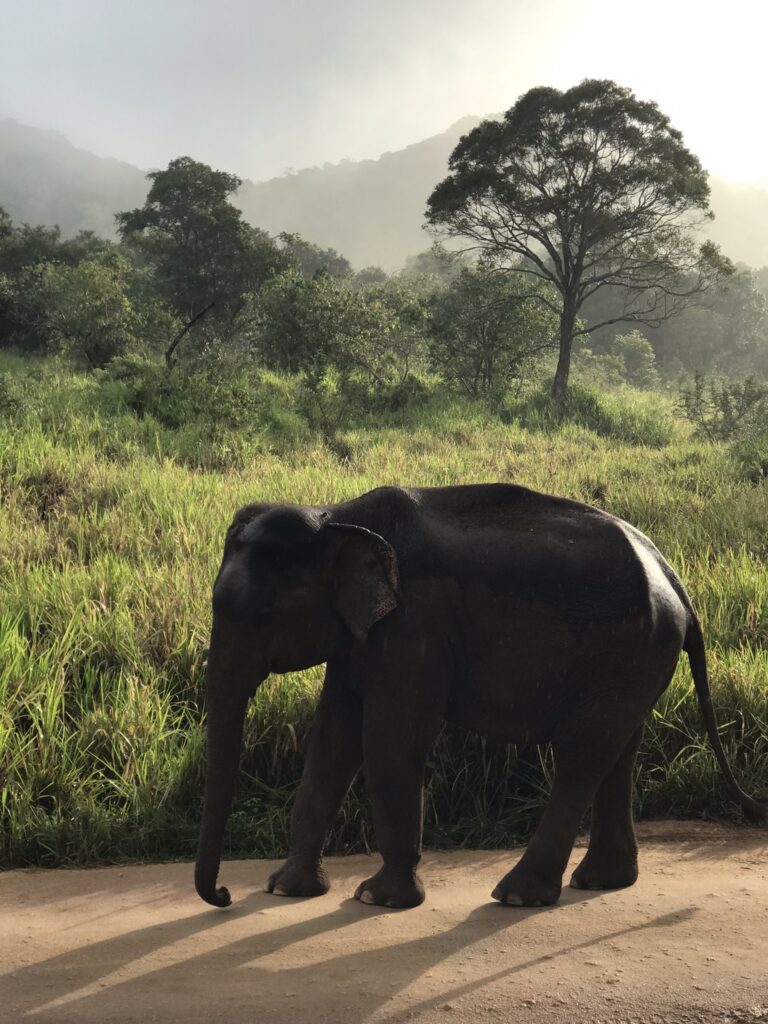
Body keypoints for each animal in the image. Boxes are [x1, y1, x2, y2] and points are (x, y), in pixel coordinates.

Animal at [194, 483, 766, 910]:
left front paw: (377, 900)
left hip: (630, 648)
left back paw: (517, 896)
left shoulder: (414, 626)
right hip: (639, 656)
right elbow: (332, 739)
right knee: (617, 750)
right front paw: (285, 890)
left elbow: (389, 741)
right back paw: (601, 883)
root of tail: (673, 576)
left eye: (265, 617)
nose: (223, 895)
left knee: (582, 753)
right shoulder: (360, 635)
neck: (333, 515)